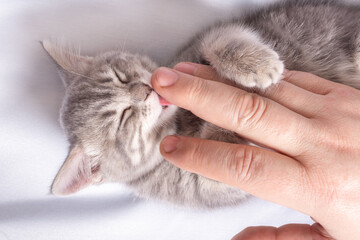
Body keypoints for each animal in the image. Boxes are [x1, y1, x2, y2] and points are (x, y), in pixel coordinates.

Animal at [43, 0, 360, 208]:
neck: (183, 119)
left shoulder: (205, 41)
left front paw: (255, 63)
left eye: (122, 77)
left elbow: (219, 40)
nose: (144, 90)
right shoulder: (209, 184)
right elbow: (219, 164)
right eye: (123, 118)